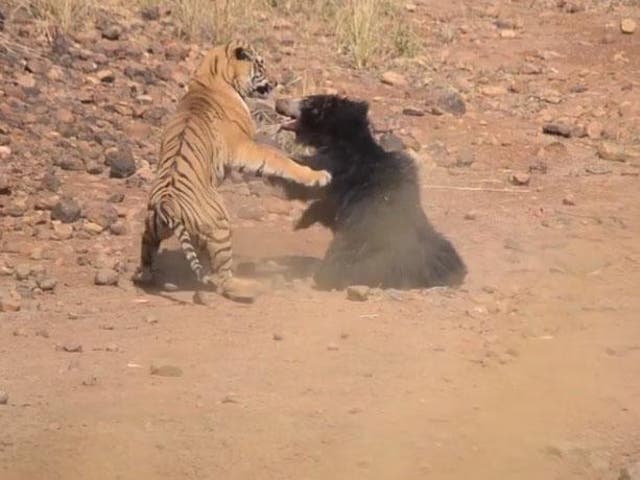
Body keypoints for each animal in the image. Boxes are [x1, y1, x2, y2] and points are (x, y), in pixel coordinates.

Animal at [133, 41, 332, 302]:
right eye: (261, 65)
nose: (276, 81)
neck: (210, 75)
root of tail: (167, 203)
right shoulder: (245, 147)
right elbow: (278, 158)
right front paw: (319, 176)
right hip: (220, 226)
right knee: (223, 277)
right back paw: (249, 287)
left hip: (153, 227)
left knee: (147, 247)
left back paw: (143, 275)